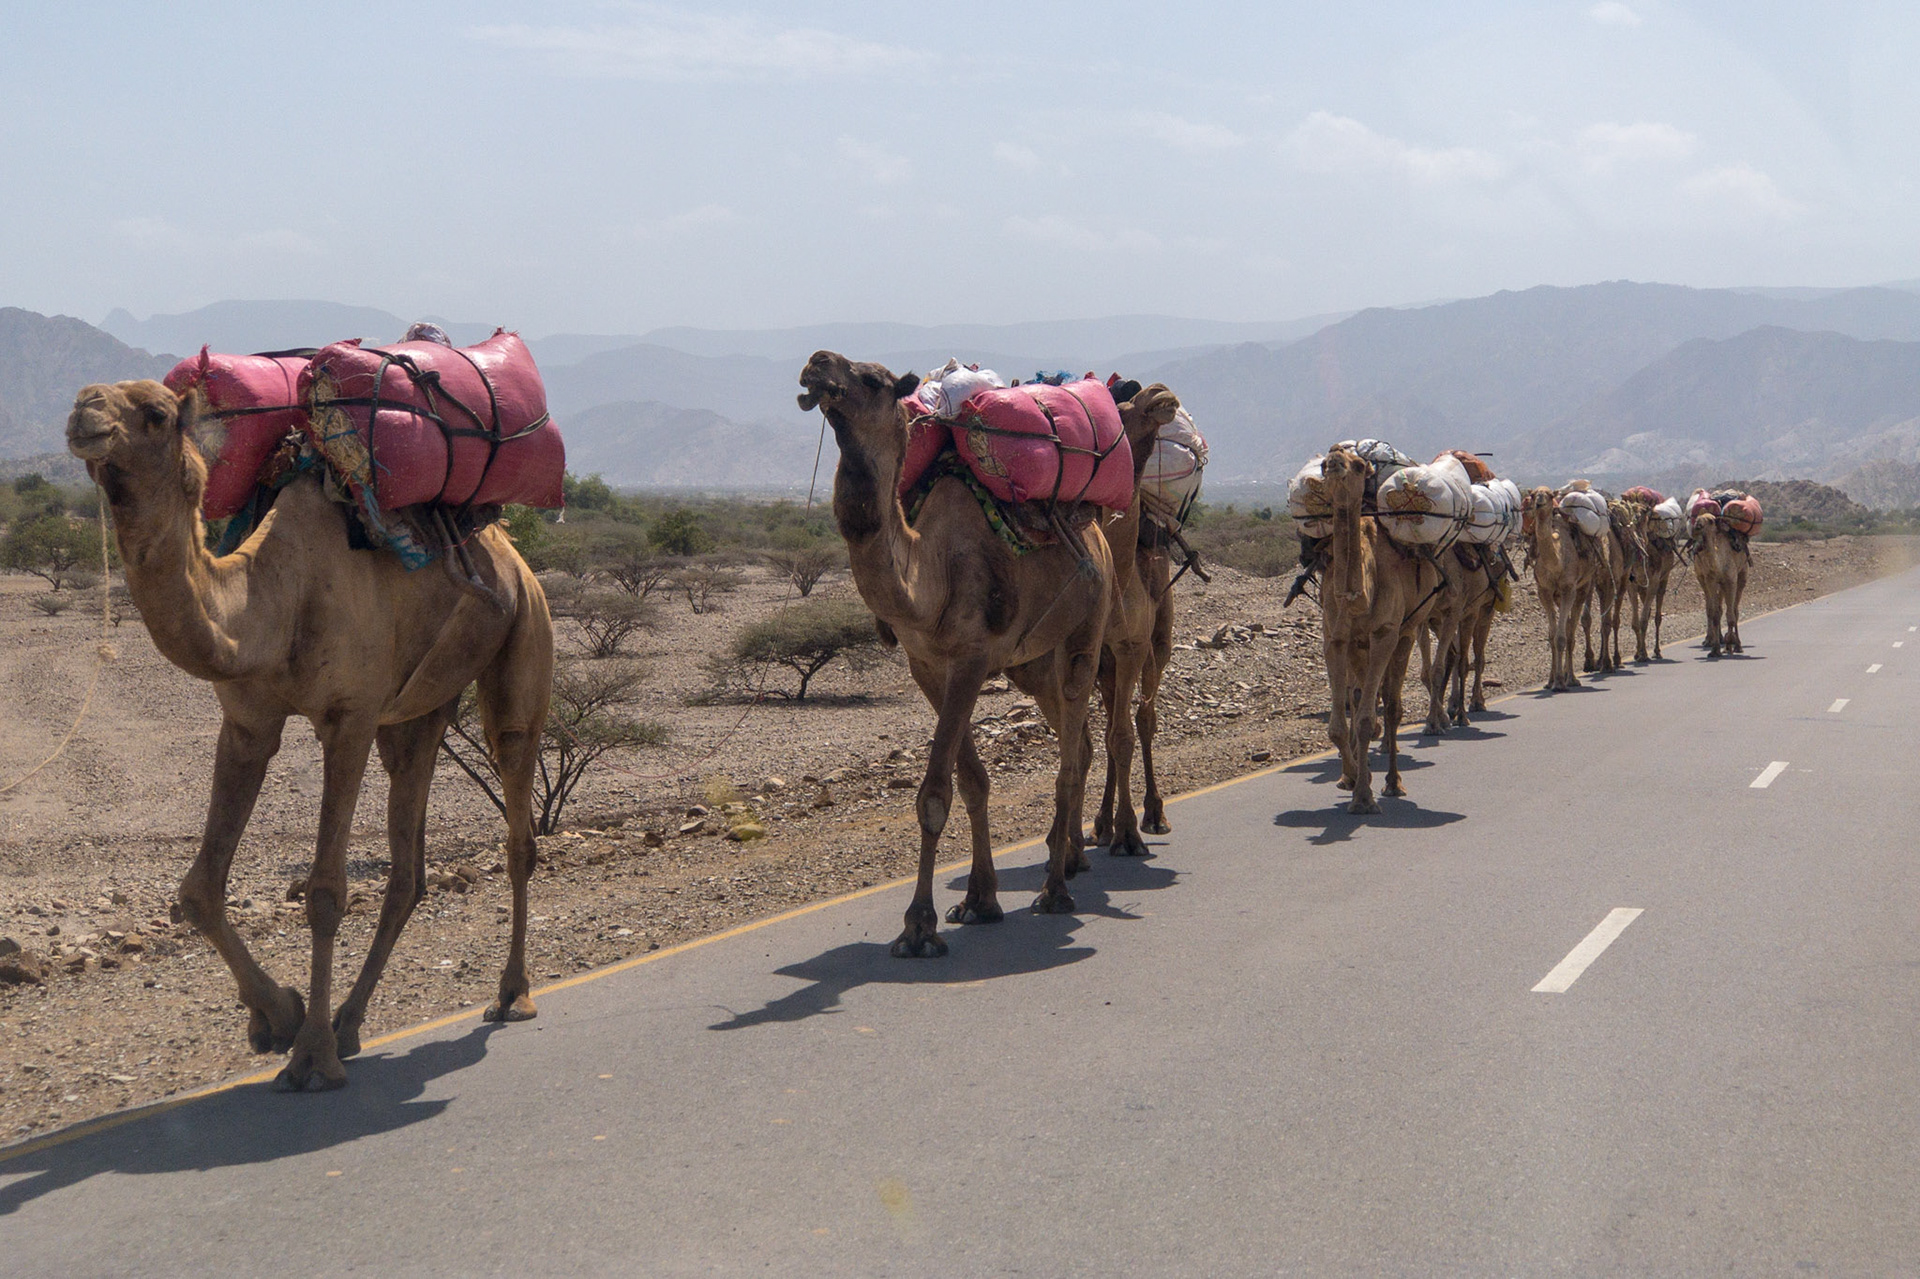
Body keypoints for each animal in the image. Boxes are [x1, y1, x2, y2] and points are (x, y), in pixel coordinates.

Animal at [67, 380, 552, 1091]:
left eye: (155, 413)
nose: (85, 412)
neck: (271, 603)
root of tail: (514, 555)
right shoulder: (248, 723)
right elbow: (199, 890)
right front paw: (278, 1018)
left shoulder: (349, 718)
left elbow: (325, 893)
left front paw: (311, 1056)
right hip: (416, 715)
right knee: (409, 868)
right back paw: (351, 1022)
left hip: (522, 641)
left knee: (517, 812)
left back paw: (511, 994)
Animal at [797, 352, 1113, 957]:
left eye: (870, 379)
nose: (817, 364)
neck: (928, 576)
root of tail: (1099, 532)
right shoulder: (927, 666)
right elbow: (971, 782)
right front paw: (978, 901)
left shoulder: (970, 657)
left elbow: (934, 793)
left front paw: (918, 927)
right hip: (1032, 661)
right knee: (1079, 744)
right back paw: (1068, 860)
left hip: (1087, 629)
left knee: (1068, 758)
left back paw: (1055, 890)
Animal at [1318, 446, 1442, 813]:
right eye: (1323, 464)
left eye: (1360, 465)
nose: (1335, 459)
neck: (1360, 594)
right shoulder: (1335, 637)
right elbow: (1338, 725)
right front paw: (1350, 778)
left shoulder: (1385, 632)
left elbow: (1365, 719)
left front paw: (1363, 798)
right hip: (1360, 647)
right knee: (1365, 699)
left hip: (1408, 629)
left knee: (1392, 706)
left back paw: (1393, 783)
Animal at [1521, 488, 1602, 691]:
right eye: (1533, 495)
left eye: (1550, 495)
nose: (1539, 503)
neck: (1556, 561)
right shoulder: (1544, 591)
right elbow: (1552, 636)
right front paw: (1552, 681)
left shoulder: (1568, 589)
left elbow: (1562, 637)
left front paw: (1562, 682)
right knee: (1566, 627)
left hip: (1583, 587)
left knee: (1571, 630)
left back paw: (1571, 677)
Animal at [1691, 512, 1750, 656]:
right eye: (1698, 518)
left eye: (1711, 521)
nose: (1697, 526)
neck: (1719, 563)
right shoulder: (1710, 581)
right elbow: (1714, 613)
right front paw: (1715, 649)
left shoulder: (1731, 581)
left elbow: (1731, 615)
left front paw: (1730, 645)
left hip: (1742, 575)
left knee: (1735, 610)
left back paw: (1737, 645)